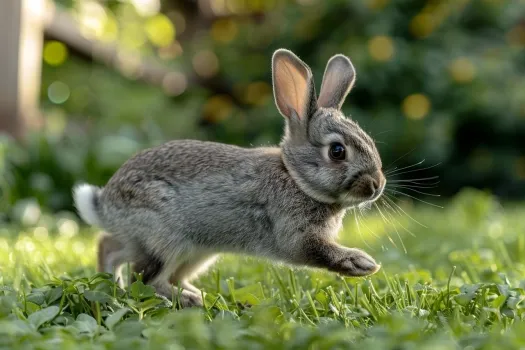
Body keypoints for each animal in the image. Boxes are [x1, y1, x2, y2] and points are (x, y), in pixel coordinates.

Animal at [72, 48, 384, 306]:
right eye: (337, 151)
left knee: (114, 249)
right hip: (166, 239)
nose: (377, 186)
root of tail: (105, 205)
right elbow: (318, 251)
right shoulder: (294, 235)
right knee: (147, 277)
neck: (296, 179)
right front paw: (363, 263)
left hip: (194, 251)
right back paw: (187, 299)